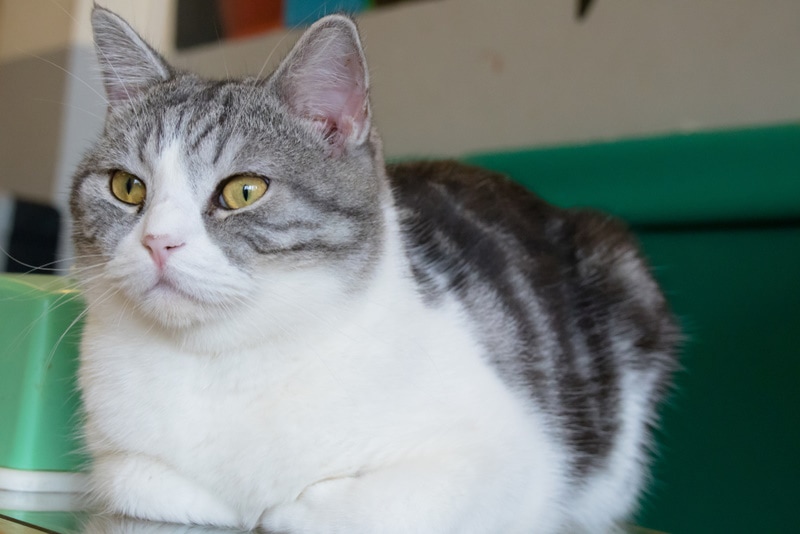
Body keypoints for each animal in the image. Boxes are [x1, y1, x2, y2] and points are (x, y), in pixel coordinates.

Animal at [72, 5, 680, 534]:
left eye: (244, 191)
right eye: (128, 187)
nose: (158, 241)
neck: (221, 362)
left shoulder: (513, 463)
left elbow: (350, 507)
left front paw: (286, 507)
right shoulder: (121, 462)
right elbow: (150, 483)